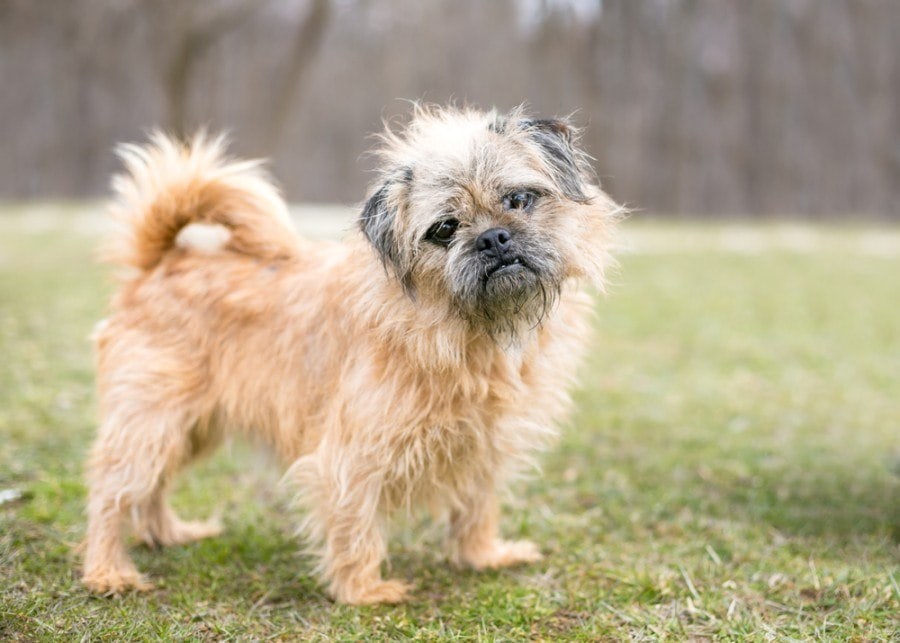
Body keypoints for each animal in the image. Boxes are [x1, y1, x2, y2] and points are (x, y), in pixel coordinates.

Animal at [82, 104, 620, 604]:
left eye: (519, 199)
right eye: (445, 230)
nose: (492, 237)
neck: (469, 330)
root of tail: (160, 262)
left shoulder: (483, 442)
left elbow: (476, 506)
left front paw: (482, 556)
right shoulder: (352, 451)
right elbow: (354, 518)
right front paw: (363, 590)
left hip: (190, 427)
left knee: (152, 486)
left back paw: (167, 533)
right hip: (151, 422)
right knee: (112, 489)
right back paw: (108, 571)